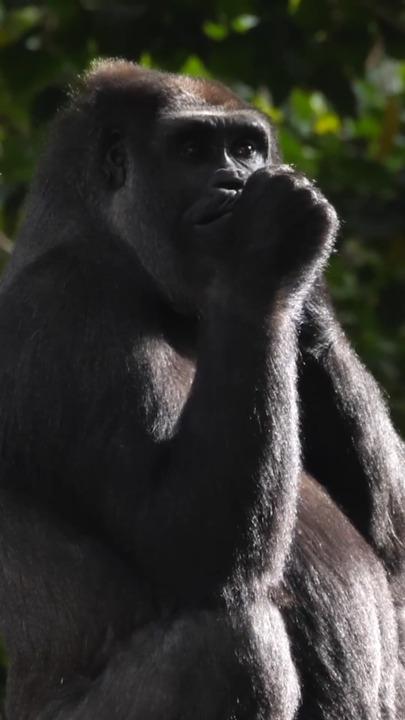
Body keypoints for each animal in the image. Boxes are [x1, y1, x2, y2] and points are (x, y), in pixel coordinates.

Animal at [0, 59, 402, 716]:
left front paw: (307, 295)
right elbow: (187, 543)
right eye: (192, 150)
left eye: (246, 147)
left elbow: (396, 538)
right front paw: (265, 248)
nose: (237, 180)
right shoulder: (68, 308)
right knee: (233, 642)